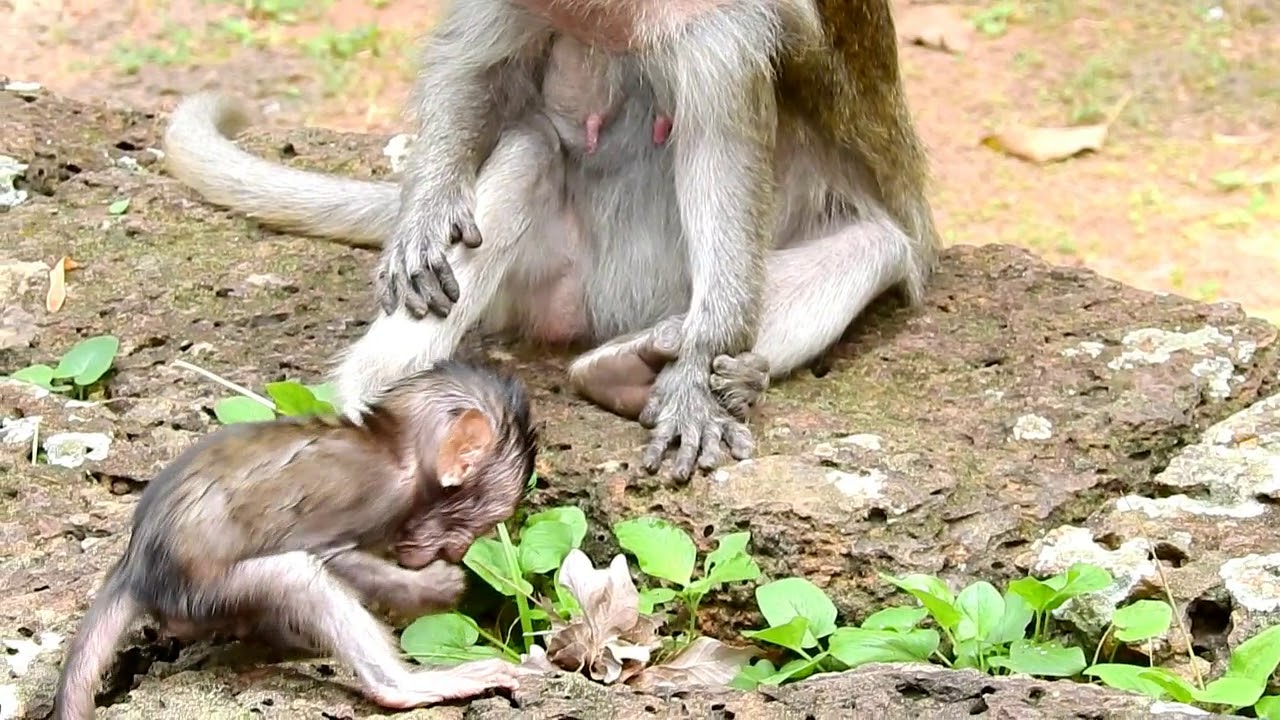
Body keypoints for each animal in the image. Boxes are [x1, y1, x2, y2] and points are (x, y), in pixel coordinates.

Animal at [52, 360, 537, 719]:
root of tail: (134, 568)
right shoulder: (370, 491)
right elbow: (331, 555)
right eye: (480, 522)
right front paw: (435, 587)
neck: (394, 447)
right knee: (295, 576)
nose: (458, 551)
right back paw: (402, 686)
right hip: (200, 591)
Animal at [162, 0, 939, 481]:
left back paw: (641, 367)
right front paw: (424, 212)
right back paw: (379, 394)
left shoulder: (723, 25)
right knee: (531, 146)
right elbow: (469, 70)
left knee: (874, 246)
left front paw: (696, 372)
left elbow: (722, 159)